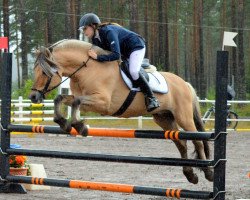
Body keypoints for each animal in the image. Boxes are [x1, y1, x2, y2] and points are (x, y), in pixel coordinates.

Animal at [28, 39, 213, 184]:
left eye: (44, 72)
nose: (33, 97)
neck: (88, 69)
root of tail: (185, 83)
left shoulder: (103, 103)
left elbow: (77, 102)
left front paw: (79, 126)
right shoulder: (85, 99)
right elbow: (63, 99)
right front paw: (64, 123)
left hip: (183, 117)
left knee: (197, 140)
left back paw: (208, 173)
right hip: (164, 118)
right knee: (181, 143)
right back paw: (190, 175)